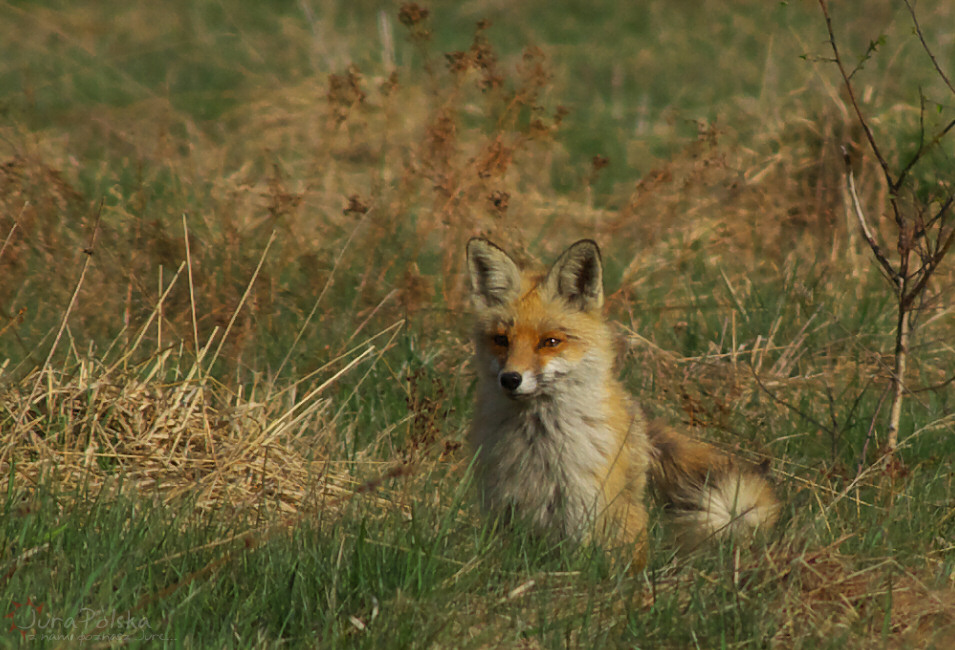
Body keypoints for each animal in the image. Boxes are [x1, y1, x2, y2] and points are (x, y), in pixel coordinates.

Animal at [466, 238, 780, 568]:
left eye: (550, 342)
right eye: (501, 340)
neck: (538, 446)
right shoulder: (502, 506)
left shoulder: (583, 511)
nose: (510, 379)